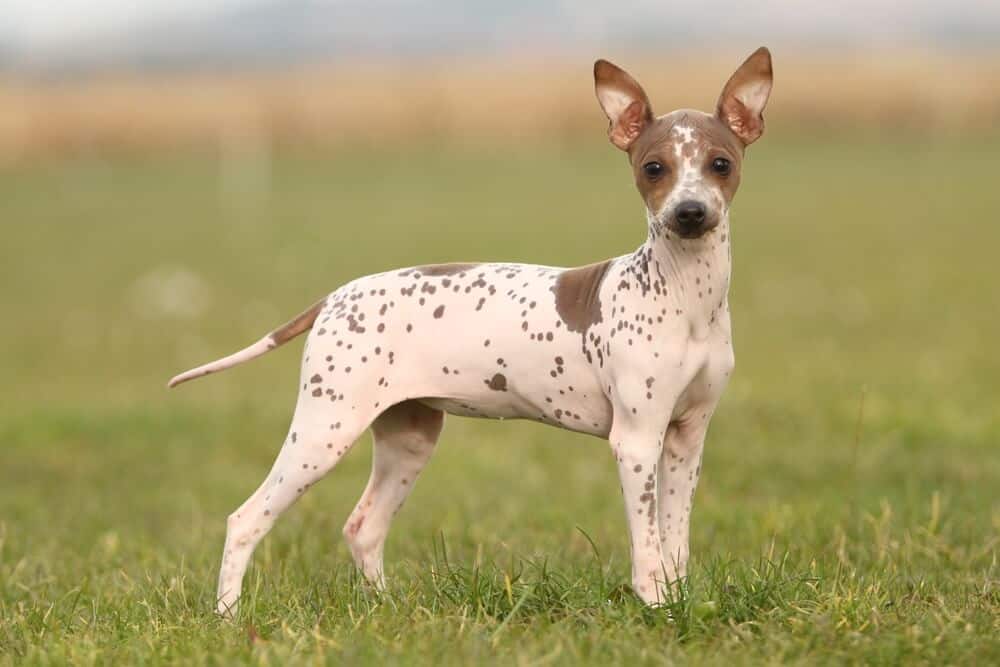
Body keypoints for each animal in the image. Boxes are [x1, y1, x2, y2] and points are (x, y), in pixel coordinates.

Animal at [170, 49, 772, 620]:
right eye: (653, 168)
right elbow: (647, 549)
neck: (684, 295)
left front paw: (679, 602)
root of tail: (336, 297)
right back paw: (227, 619)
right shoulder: (637, 441)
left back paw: (386, 609)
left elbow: (674, 543)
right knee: (245, 519)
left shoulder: (686, 440)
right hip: (324, 432)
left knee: (362, 527)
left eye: (720, 164)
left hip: (408, 438)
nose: (689, 212)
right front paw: (654, 610)